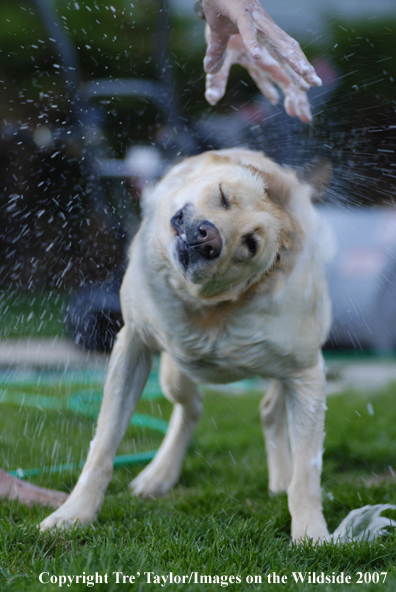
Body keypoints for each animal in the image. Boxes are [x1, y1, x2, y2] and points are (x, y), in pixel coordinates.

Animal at [40, 148, 332, 540]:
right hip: (175, 372)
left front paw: (311, 533)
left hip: (284, 371)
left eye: (250, 245)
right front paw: (74, 514)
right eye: (223, 196)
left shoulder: (306, 374)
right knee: (191, 407)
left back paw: (280, 477)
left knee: (268, 408)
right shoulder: (133, 345)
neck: (209, 310)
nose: (209, 239)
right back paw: (159, 475)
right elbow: (103, 444)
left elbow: (308, 472)